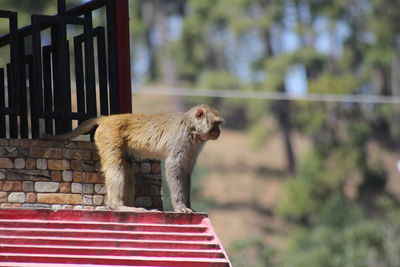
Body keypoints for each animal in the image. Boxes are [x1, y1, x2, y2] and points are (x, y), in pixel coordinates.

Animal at [42, 104, 223, 214]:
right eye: (216, 124)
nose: (219, 132)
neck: (192, 128)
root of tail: (106, 118)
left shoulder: (194, 146)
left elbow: (186, 171)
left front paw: (190, 206)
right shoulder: (181, 138)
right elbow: (174, 167)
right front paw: (180, 206)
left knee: (127, 167)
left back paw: (128, 206)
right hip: (109, 136)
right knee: (116, 167)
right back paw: (118, 206)